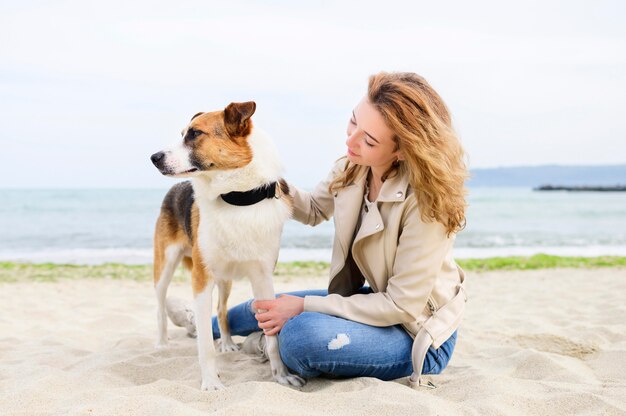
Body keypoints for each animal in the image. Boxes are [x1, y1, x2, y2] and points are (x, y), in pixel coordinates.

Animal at [146, 101, 302, 390]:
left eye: (195, 134)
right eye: (182, 133)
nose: (154, 157)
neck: (237, 198)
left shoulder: (263, 278)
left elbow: (272, 339)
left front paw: (281, 375)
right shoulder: (201, 279)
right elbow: (205, 343)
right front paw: (210, 382)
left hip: (225, 279)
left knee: (222, 309)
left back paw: (228, 344)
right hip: (164, 266)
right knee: (160, 305)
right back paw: (161, 343)